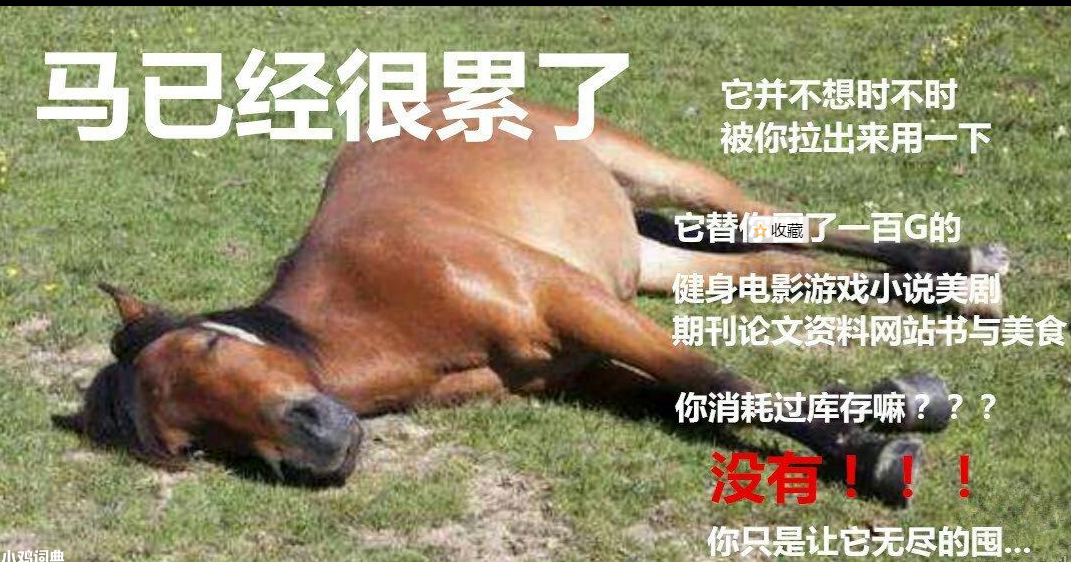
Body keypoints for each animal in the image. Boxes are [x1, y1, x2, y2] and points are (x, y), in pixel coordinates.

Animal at [57, 93, 1009, 505]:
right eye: (192, 445)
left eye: (212, 346)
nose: (316, 445)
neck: (385, 303)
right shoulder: (581, 367)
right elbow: (694, 396)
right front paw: (887, 416)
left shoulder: (574, 302)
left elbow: (712, 375)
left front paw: (876, 461)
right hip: (649, 262)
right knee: (778, 261)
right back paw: (932, 329)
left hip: (654, 176)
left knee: (781, 221)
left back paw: (964, 263)